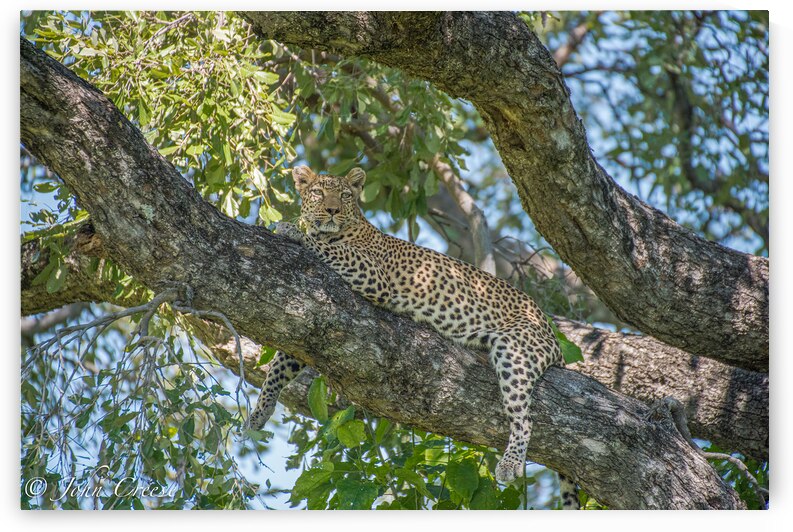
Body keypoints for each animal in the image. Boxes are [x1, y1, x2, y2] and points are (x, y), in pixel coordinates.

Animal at [247, 165, 579, 509]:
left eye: (345, 195)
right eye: (318, 193)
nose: (332, 210)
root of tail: (551, 335)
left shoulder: (372, 273)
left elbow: (331, 247)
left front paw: (292, 230)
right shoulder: (304, 326)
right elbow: (280, 365)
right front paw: (259, 413)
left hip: (515, 349)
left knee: (524, 418)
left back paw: (511, 463)